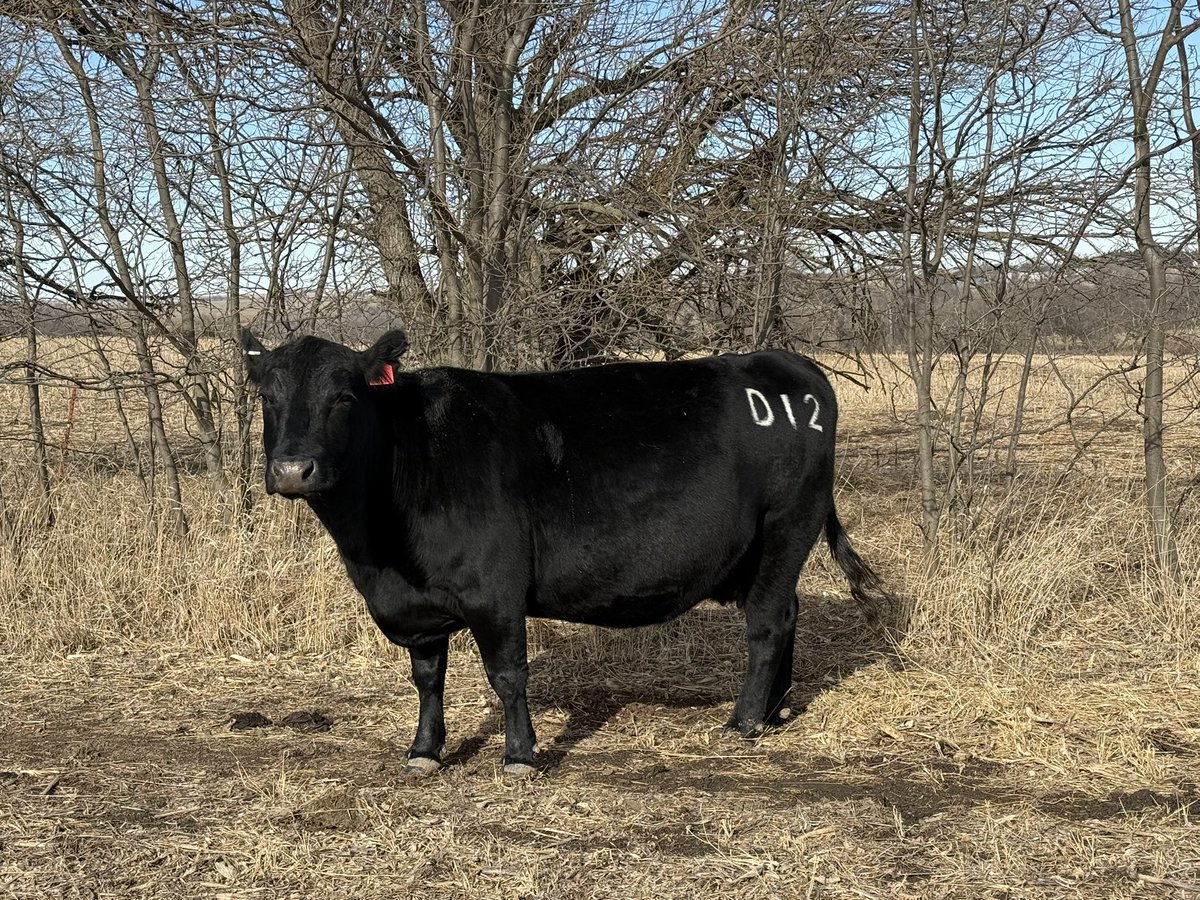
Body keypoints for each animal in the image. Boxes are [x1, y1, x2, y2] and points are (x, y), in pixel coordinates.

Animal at [242, 328, 885, 777]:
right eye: (267, 396)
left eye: (343, 396)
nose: (293, 469)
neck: (376, 554)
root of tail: (783, 362)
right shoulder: (416, 606)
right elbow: (427, 677)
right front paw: (424, 750)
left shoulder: (495, 588)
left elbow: (507, 674)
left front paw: (520, 757)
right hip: (766, 549)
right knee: (789, 613)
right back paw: (777, 711)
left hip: (786, 526)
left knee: (768, 622)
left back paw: (744, 721)